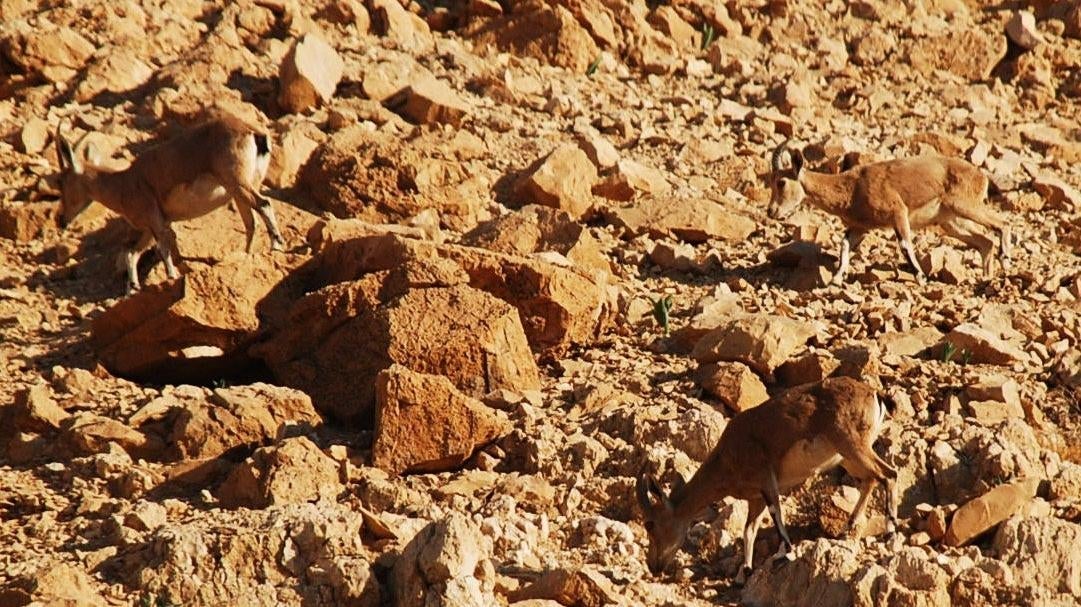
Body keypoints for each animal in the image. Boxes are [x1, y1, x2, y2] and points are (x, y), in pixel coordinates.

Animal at [54, 114, 286, 292]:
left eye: (61, 182)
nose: (61, 219)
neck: (124, 183)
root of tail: (252, 132)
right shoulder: (148, 229)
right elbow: (131, 253)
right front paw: (132, 289)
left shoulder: (154, 221)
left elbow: (163, 249)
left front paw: (171, 276)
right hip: (241, 189)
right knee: (251, 222)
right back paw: (245, 256)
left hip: (238, 183)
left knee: (264, 204)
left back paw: (276, 245)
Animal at [636, 377, 896, 583]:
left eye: (650, 524)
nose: (653, 566)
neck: (727, 457)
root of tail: (874, 394)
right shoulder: (755, 498)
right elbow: (749, 530)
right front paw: (743, 574)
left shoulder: (765, 479)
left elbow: (776, 513)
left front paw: (784, 552)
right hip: (846, 456)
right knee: (871, 480)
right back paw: (847, 529)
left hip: (852, 444)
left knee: (888, 474)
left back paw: (890, 531)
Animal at [768, 140, 1011, 285]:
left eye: (781, 182)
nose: (771, 211)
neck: (852, 188)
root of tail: (981, 176)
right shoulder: (859, 228)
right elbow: (844, 245)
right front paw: (836, 278)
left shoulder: (897, 211)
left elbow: (904, 244)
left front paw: (920, 277)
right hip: (951, 222)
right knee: (985, 241)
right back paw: (987, 278)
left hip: (966, 206)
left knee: (1002, 223)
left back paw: (1006, 260)